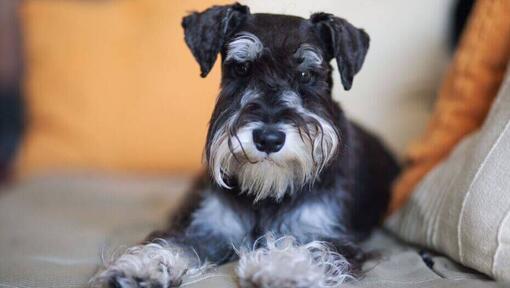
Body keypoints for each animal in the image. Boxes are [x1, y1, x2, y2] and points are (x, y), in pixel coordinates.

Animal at [93, 2, 400, 288]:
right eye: (242, 68)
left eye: (305, 75)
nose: (268, 139)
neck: (267, 192)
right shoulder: (210, 227)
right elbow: (175, 242)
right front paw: (143, 266)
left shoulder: (328, 234)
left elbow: (313, 251)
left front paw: (282, 268)